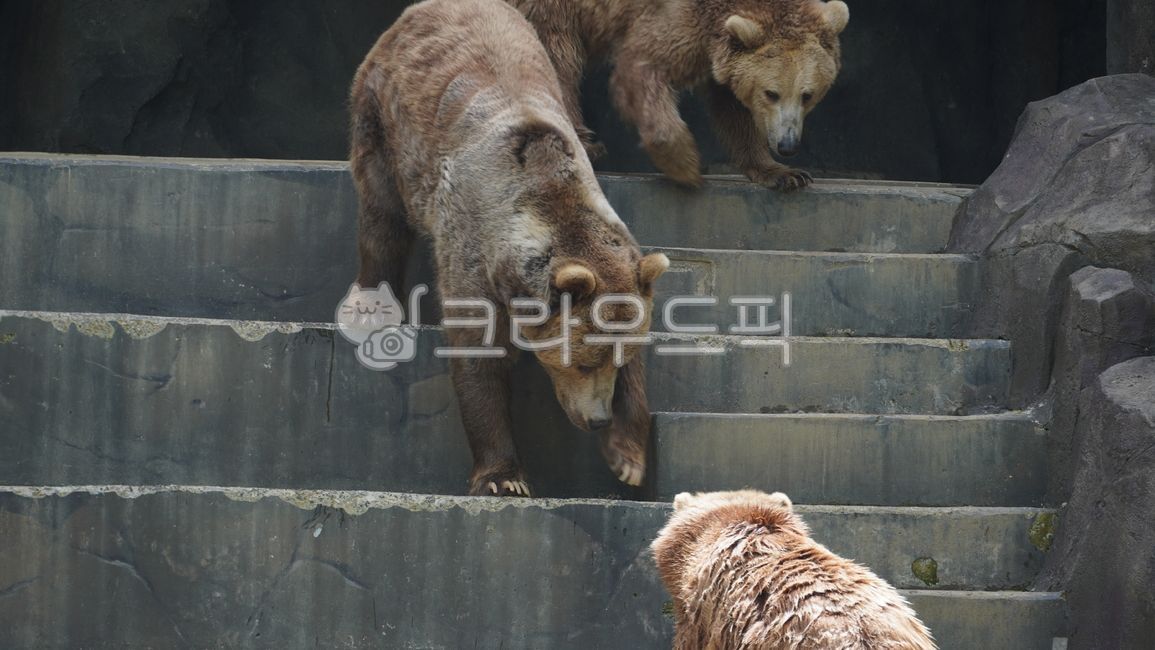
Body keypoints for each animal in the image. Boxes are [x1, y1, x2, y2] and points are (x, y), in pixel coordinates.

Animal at [348, 0, 669, 496]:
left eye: (615, 360)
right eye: (581, 362)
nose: (598, 420)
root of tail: (421, 10)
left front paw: (628, 458)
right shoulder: (474, 255)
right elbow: (478, 358)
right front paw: (503, 477)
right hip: (383, 115)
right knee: (381, 210)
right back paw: (371, 302)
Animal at [507, 0, 849, 191]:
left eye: (807, 95)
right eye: (772, 93)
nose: (787, 145)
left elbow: (733, 109)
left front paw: (783, 174)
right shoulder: (677, 18)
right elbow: (643, 66)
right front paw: (685, 164)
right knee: (554, 53)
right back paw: (584, 142)